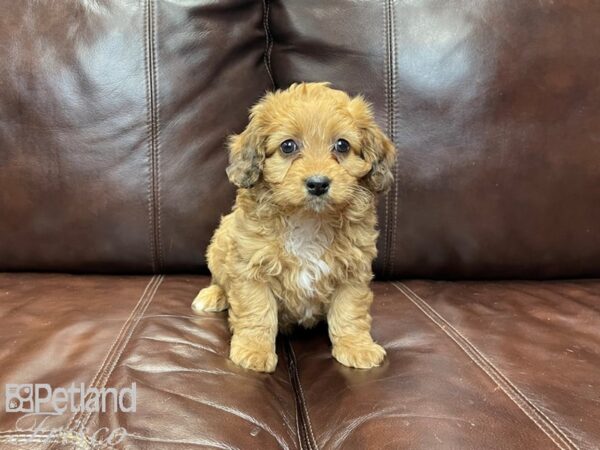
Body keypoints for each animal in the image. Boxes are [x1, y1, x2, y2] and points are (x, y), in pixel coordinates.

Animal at [192, 82, 396, 370]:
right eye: (288, 146)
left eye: (342, 145)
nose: (318, 184)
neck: (308, 218)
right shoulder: (251, 268)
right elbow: (257, 311)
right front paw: (254, 351)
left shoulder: (353, 272)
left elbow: (349, 311)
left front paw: (357, 347)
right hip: (220, 242)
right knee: (220, 279)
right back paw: (214, 295)